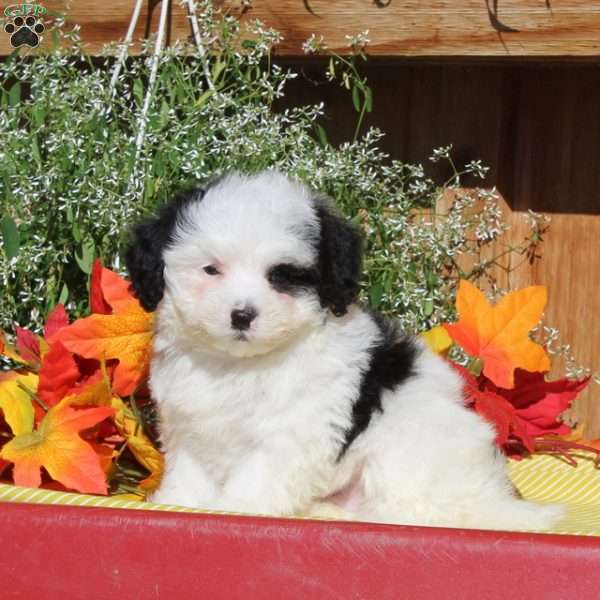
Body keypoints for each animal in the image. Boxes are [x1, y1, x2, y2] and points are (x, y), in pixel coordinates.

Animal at [125, 170, 564, 528]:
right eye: (211, 270)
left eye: (281, 276)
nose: (242, 315)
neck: (240, 365)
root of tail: (491, 501)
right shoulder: (189, 425)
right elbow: (189, 470)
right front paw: (176, 501)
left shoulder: (293, 433)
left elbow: (258, 479)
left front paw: (234, 508)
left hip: (411, 446)